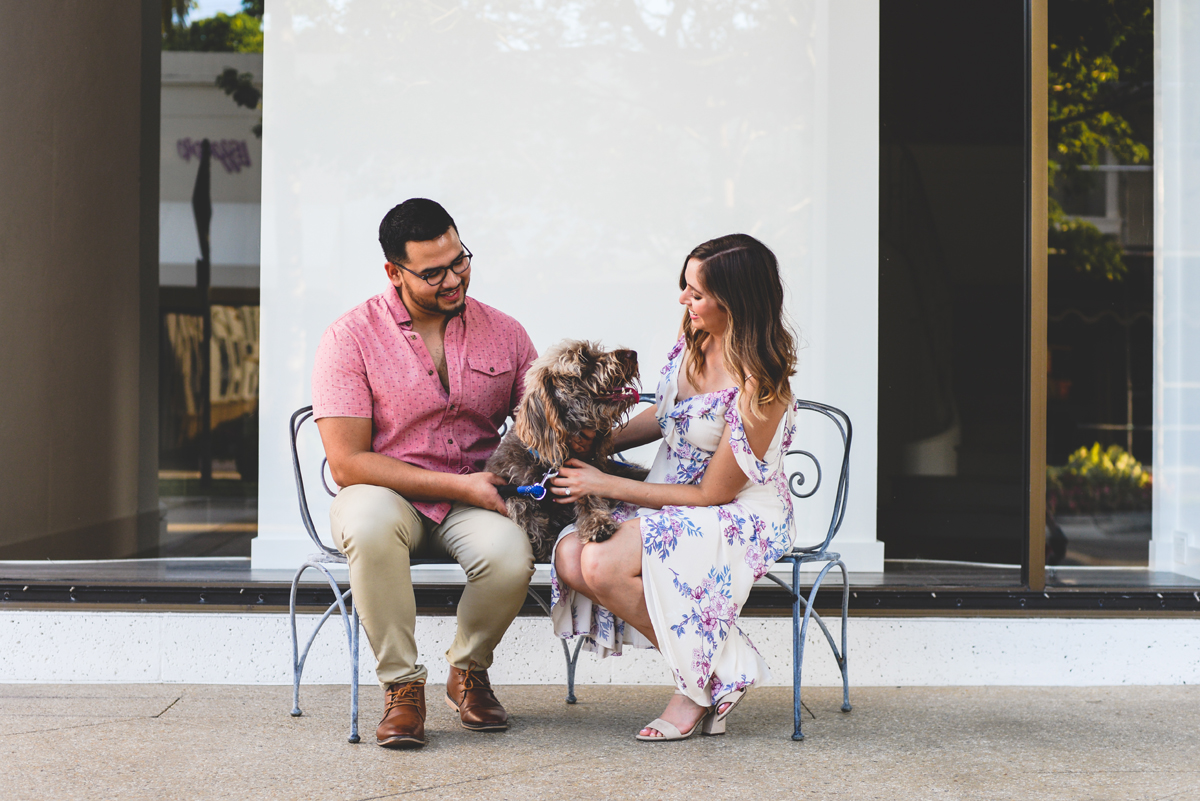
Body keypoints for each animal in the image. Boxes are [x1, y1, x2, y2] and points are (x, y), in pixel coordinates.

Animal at [484, 340, 648, 563]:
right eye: (584, 358)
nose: (632, 354)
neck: (550, 464)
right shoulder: (513, 488)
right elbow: (520, 506)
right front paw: (547, 546)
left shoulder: (586, 474)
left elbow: (589, 495)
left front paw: (596, 522)